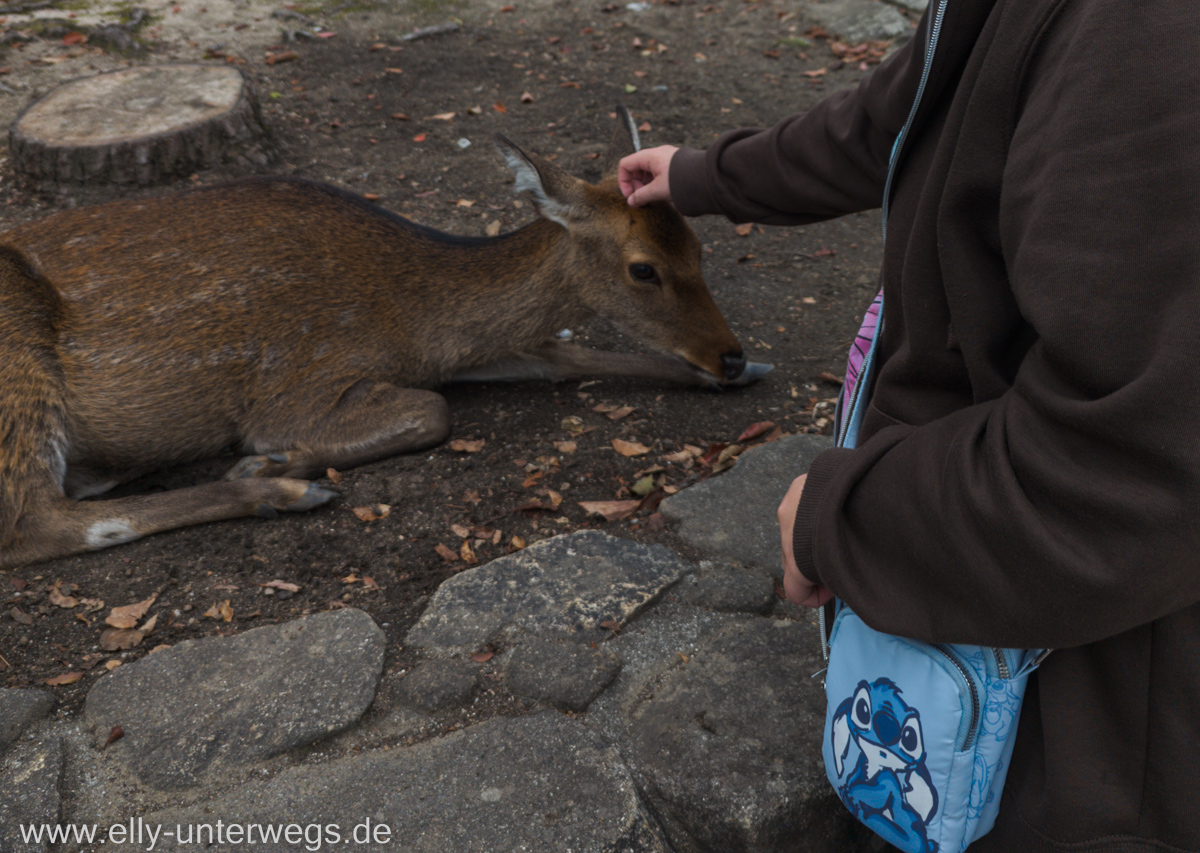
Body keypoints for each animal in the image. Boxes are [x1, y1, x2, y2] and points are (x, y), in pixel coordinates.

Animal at [0, 110, 768, 571]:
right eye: (643, 268)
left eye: (699, 244)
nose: (727, 353)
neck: (411, 317)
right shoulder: (300, 379)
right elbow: (432, 411)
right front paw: (274, 458)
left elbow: (562, 355)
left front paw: (747, 368)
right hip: (19, 367)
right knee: (32, 522)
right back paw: (280, 489)